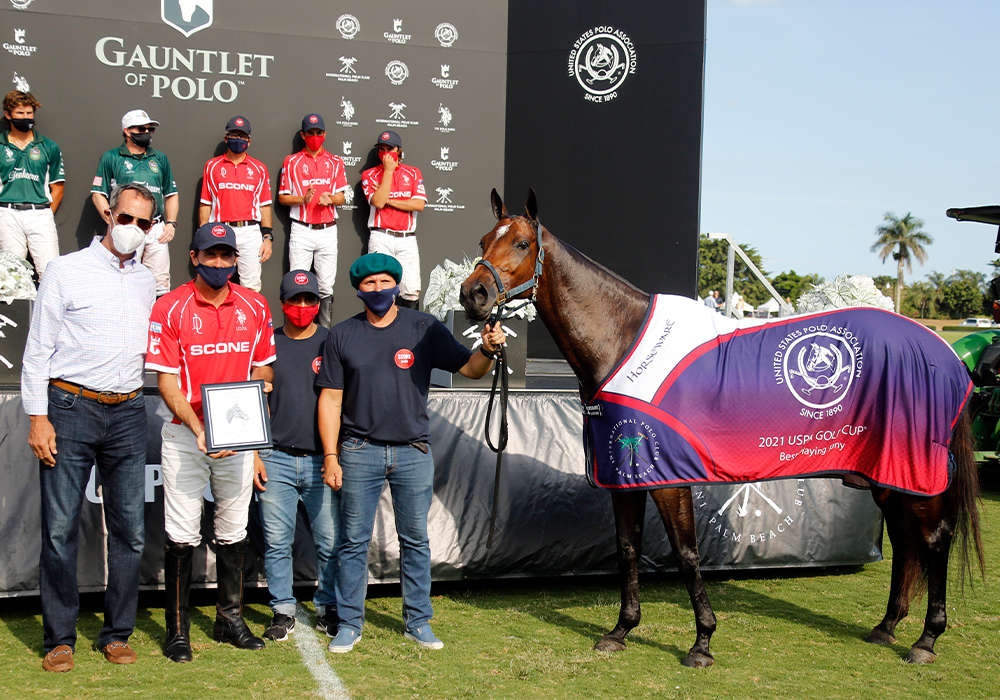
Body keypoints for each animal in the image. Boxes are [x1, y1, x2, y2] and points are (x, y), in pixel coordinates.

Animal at [458, 187, 984, 668]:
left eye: (522, 243)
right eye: (484, 239)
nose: (472, 295)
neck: (621, 341)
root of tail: (943, 352)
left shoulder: (669, 478)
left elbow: (687, 553)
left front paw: (702, 643)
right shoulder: (625, 476)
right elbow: (627, 548)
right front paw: (621, 630)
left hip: (917, 475)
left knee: (934, 540)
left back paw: (926, 640)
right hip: (886, 476)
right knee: (905, 542)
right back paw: (887, 626)